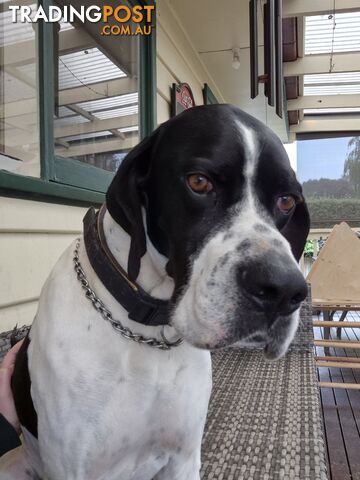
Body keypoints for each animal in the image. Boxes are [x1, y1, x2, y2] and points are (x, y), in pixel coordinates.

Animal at [0, 106, 310, 480]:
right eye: (199, 182)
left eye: (286, 200)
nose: (283, 290)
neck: (148, 332)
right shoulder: (73, 468)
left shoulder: (184, 459)